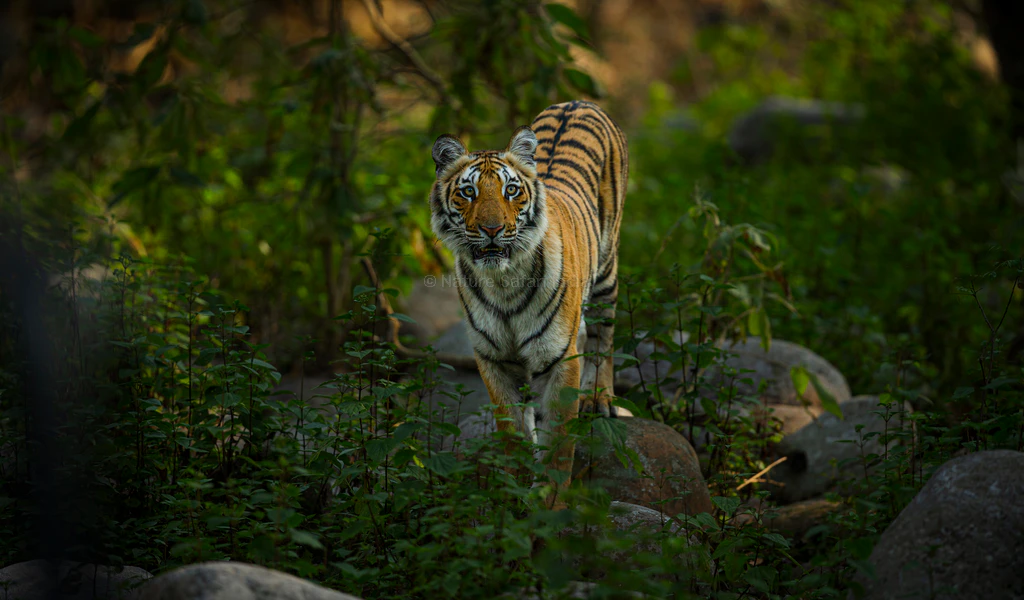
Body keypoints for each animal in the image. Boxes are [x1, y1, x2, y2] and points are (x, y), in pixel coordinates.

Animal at [428, 100, 628, 506]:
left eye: (511, 190)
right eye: (468, 191)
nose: (491, 229)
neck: (502, 281)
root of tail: (579, 102)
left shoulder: (560, 359)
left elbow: (559, 445)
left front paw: (550, 503)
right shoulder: (493, 360)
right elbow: (514, 432)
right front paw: (516, 493)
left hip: (607, 271)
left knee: (604, 337)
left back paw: (599, 398)